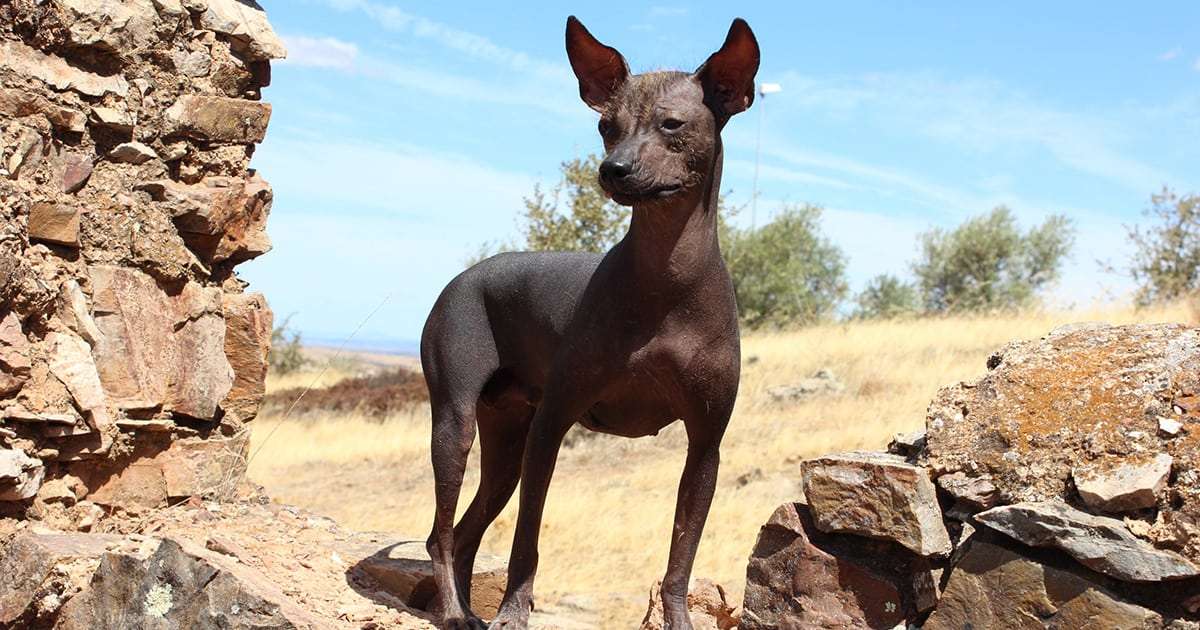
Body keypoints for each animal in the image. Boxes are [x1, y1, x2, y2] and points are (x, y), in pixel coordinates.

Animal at [422, 15, 758, 628]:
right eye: (606, 126)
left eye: (672, 124)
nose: (613, 169)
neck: (666, 280)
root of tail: (465, 276)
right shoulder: (551, 426)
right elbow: (526, 541)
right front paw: (514, 611)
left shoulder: (705, 446)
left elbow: (681, 557)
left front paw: (678, 617)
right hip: (456, 425)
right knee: (441, 534)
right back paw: (457, 614)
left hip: (505, 446)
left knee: (463, 532)